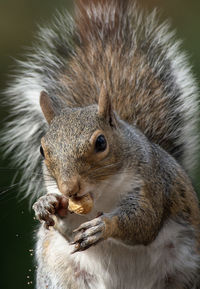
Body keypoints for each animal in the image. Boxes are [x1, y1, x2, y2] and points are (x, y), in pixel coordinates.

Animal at [2, 0, 200, 288]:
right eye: (42, 149)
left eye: (101, 142)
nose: (69, 188)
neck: (101, 195)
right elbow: (65, 227)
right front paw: (45, 204)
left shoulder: (153, 185)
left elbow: (144, 223)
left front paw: (104, 227)